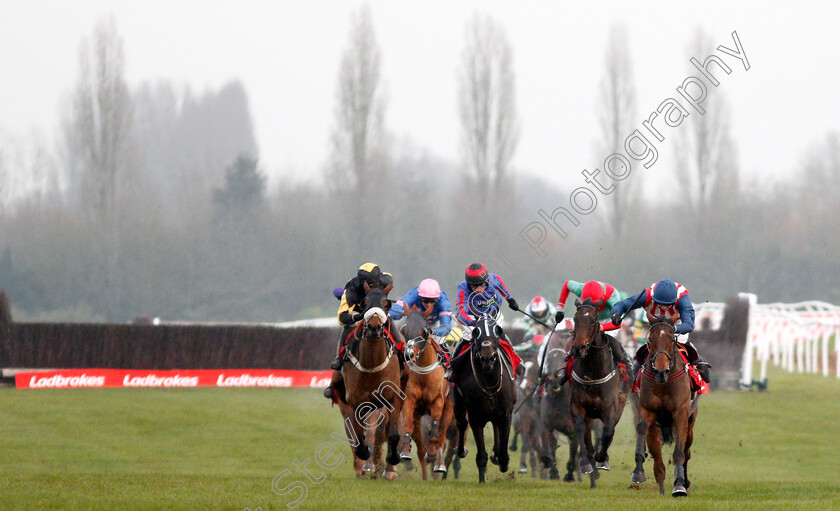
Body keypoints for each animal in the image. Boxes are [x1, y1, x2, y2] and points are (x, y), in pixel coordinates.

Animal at [338, 288, 404, 480]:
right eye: (365, 302)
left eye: (386, 304)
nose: (374, 327)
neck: (372, 366)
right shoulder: (355, 403)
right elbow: (359, 437)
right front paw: (365, 455)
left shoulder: (393, 399)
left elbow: (393, 434)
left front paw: (392, 458)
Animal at [398, 308, 452, 480]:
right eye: (404, 330)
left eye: (424, 331)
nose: (408, 354)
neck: (424, 375)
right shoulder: (410, 400)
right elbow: (407, 424)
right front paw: (405, 452)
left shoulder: (438, 401)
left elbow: (436, 432)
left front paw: (434, 456)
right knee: (421, 448)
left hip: (448, 410)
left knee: (441, 436)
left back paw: (439, 464)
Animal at [452, 316, 520, 484]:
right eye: (476, 332)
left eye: (497, 331)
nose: (487, 358)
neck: (489, 381)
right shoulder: (475, 416)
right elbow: (481, 455)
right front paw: (482, 479)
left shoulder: (506, 413)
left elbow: (503, 449)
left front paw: (502, 461)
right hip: (458, 402)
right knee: (461, 423)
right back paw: (461, 450)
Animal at [568, 298, 628, 490]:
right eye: (575, 318)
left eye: (593, 320)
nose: (578, 348)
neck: (593, 370)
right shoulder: (578, 406)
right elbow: (581, 431)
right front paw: (586, 463)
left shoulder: (610, 407)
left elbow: (608, 431)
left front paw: (602, 459)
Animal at [632, 316, 704, 496]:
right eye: (650, 339)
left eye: (672, 339)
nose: (661, 371)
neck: (664, 383)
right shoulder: (648, 410)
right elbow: (644, 434)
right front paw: (639, 473)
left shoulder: (681, 413)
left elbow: (679, 452)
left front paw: (679, 485)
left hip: (691, 423)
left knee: (686, 451)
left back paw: (684, 481)